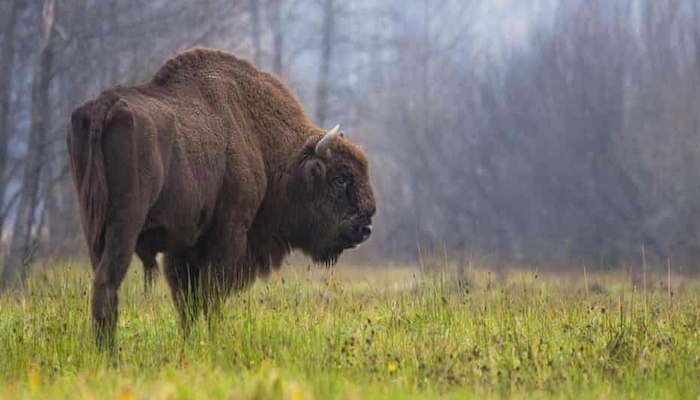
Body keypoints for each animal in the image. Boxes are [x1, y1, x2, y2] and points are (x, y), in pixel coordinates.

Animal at [68, 47, 378, 350]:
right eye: (341, 178)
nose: (365, 227)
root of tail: (104, 105)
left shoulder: (183, 247)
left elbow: (188, 301)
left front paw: (190, 343)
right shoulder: (227, 235)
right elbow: (211, 295)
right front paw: (214, 340)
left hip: (92, 227)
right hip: (124, 225)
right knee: (108, 282)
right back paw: (109, 353)